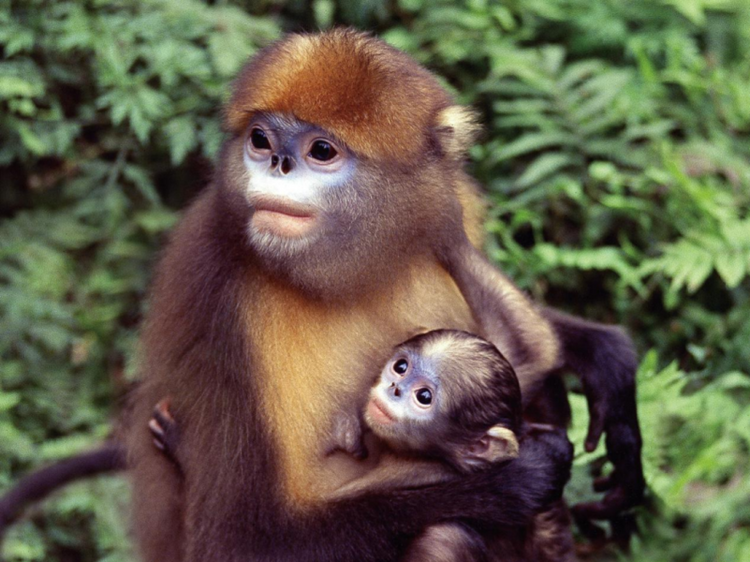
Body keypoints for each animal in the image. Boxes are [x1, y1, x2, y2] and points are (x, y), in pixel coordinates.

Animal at [114, 27, 636, 560]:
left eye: (322, 151)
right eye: (261, 139)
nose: (278, 162)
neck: (353, 271)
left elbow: (526, 353)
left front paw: (608, 363)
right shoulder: (223, 296)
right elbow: (241, 542)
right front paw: (517, 480)